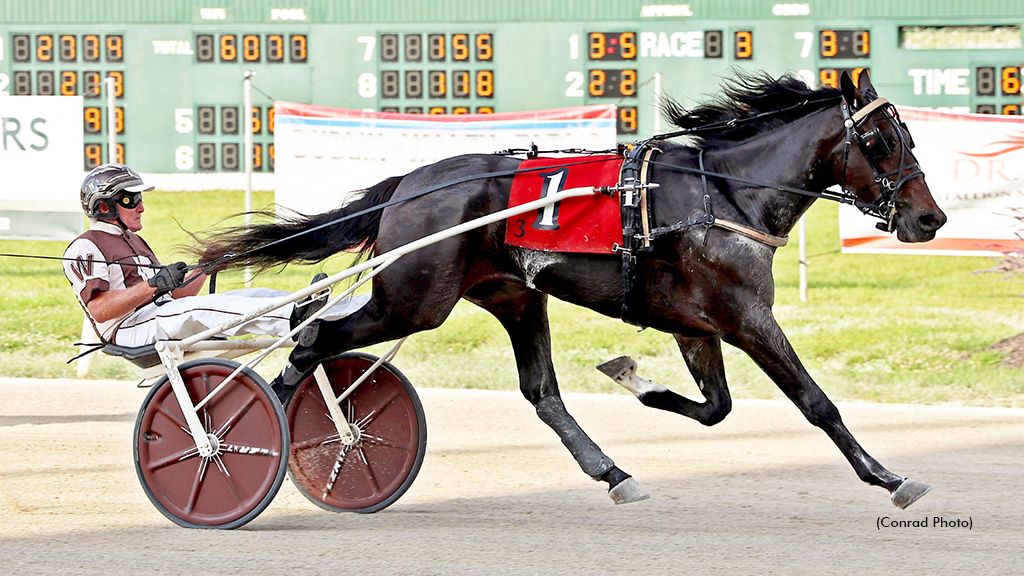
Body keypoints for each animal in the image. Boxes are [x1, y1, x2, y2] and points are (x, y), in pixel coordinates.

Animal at [195, 70, 946, 509]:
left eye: (908, 135)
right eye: (882, 140)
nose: (929, 219)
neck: (727, 194)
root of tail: (409, 183)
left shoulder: (696, 325)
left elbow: (715, 409)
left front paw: (633, 377)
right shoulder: (744, 316)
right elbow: (816, 403)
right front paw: (888, 477)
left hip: (513, 297)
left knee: (541, 393)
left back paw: (613, 473)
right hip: (413, 299)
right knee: (313, 337)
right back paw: (243, 425)